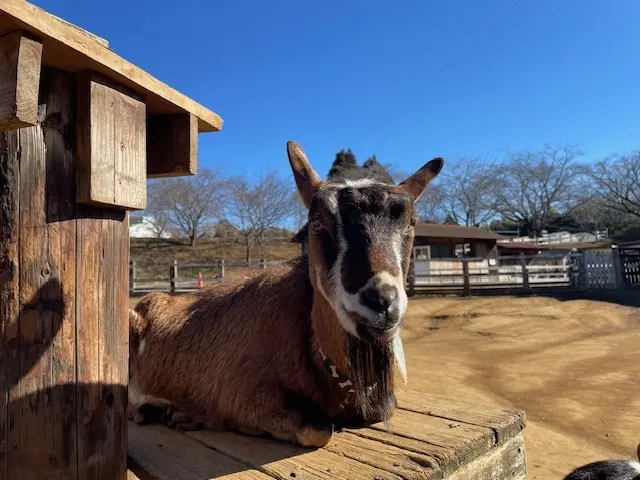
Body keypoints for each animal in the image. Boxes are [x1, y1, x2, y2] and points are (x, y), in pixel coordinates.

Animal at [127, 141, 442, 448]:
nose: (381, 302)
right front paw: (244, 426)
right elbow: (317, 429)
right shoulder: (242, 392)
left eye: (411, 221)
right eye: (317, 221)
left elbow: (386, 406)